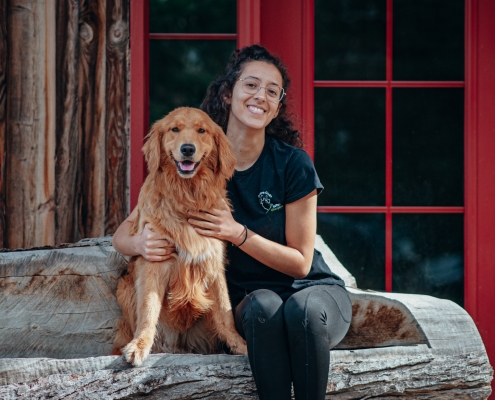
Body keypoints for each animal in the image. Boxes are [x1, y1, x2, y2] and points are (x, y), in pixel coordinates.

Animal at [115, 106, 250, 366]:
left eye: (202, 130)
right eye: (174, 129)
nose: (188, 149)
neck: (187, 197)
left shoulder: (213, 262)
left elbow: (225, 311)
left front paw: (240, 345)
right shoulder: (154, 260)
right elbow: (148, 307)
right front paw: (139, 345)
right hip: (124, 287)